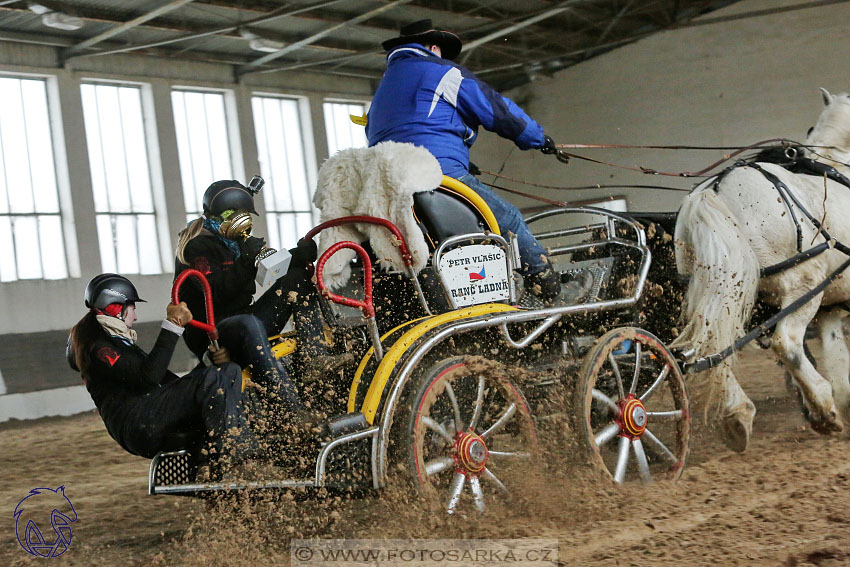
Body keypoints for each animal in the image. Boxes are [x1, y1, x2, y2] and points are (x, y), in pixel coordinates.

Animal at [676, 89, 850, 452]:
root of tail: (714, 190)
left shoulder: (830, 308)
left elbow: (837, 355)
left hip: (723, 293)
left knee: (711, 344)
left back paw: (737, 417)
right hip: (801, 288)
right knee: (788, 343)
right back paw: (822, 409)